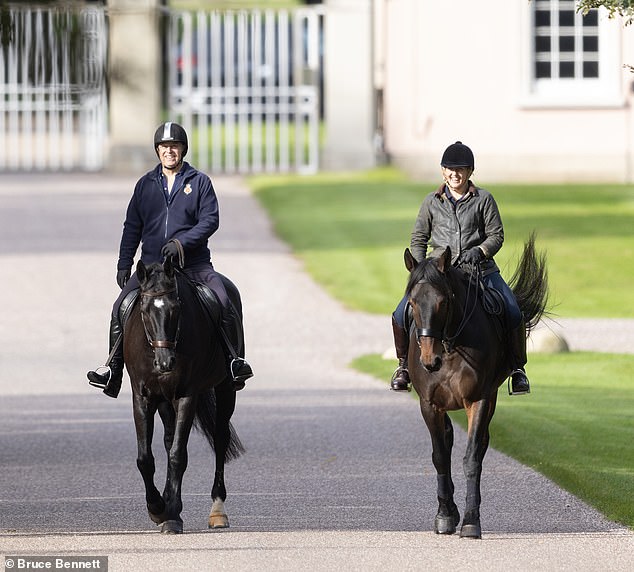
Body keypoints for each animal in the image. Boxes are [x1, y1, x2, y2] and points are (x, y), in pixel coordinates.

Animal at [123, 256, 242, 536]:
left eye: (176, 308)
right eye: (144, 310)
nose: (165, 362)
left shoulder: (187, 396)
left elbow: (178, 455)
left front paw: (172, 513)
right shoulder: (142, 398)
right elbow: (146, 458)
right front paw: (158, 508)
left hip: (226, 389)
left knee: (220, 439)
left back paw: (217, 511)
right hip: (165, 401)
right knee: (168, 440)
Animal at [402, 235, 544, 540]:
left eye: (443, 302)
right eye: (413, 302)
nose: (429, 361)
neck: (450, 345)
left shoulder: (478, 400)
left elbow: (471, 459)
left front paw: (470, 521)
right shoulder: (429, 405)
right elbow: (440, 457)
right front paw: (445, 516)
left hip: (491, 397)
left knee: (479, 445)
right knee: (447, 441)